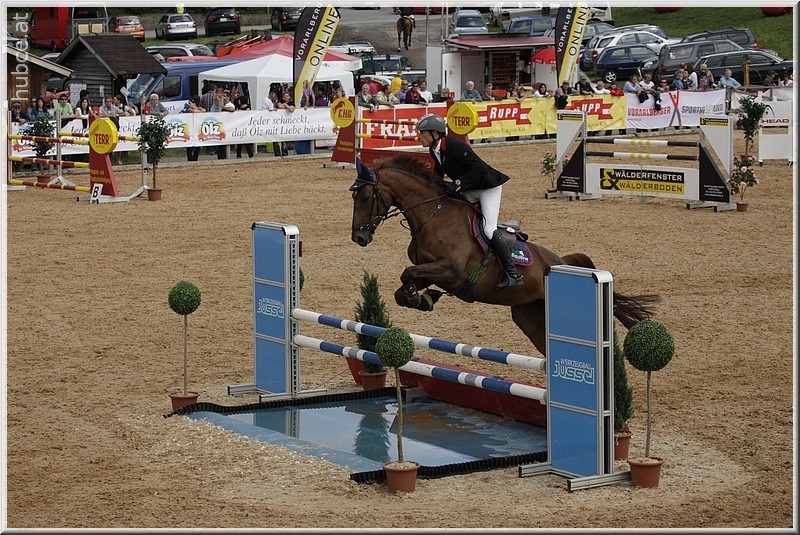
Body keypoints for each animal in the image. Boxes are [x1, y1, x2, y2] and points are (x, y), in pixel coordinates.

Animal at [349, 154, 660, 357]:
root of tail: (561, 263)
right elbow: (403, 288)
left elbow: (407, 274)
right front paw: (423, 299)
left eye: (365, 197)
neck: (432, 214)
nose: (359, 238)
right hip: (528, 315)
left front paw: (421, 298)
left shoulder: (450, 271)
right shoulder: (431, 270)